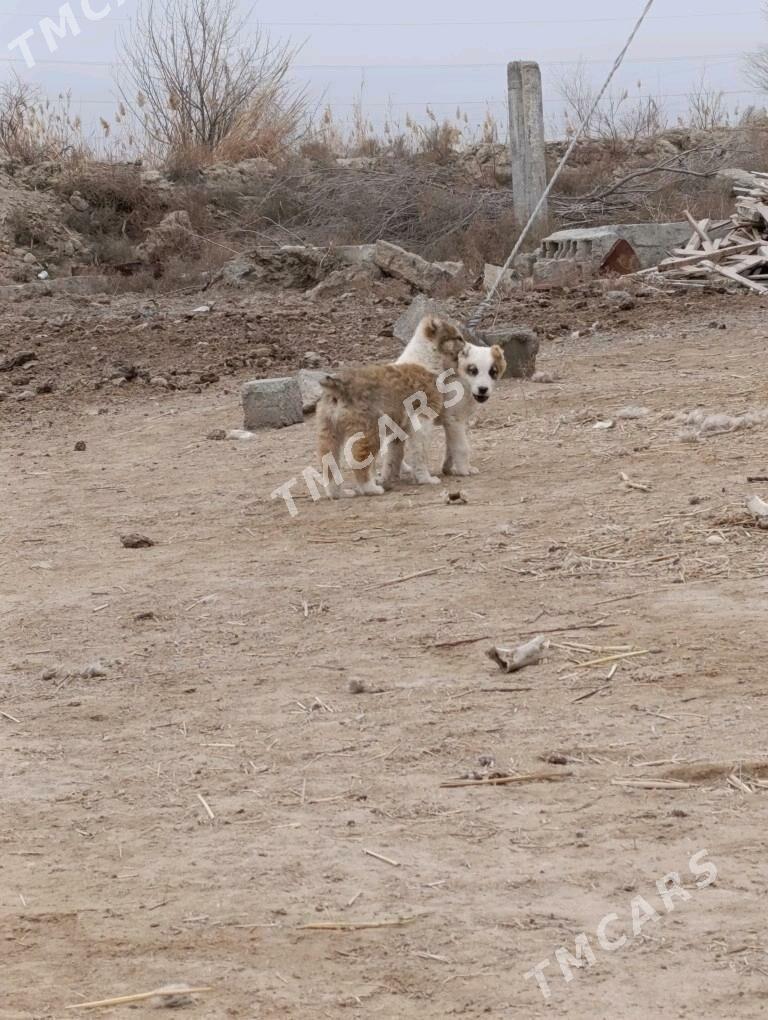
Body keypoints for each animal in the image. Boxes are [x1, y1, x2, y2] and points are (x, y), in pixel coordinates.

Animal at [316, 314, 465, 497]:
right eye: (458, 338)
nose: (467, 345)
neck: (426, 358)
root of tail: (339, 386)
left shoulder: (397, 431)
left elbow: (393, 457)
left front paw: (389, 478)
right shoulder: (422, 422)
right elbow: (419, 453)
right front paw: (426, 479)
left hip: (329, 433)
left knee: (328, 463)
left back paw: (338, 493)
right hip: (369, 431)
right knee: (358, 458)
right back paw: (370, 488)